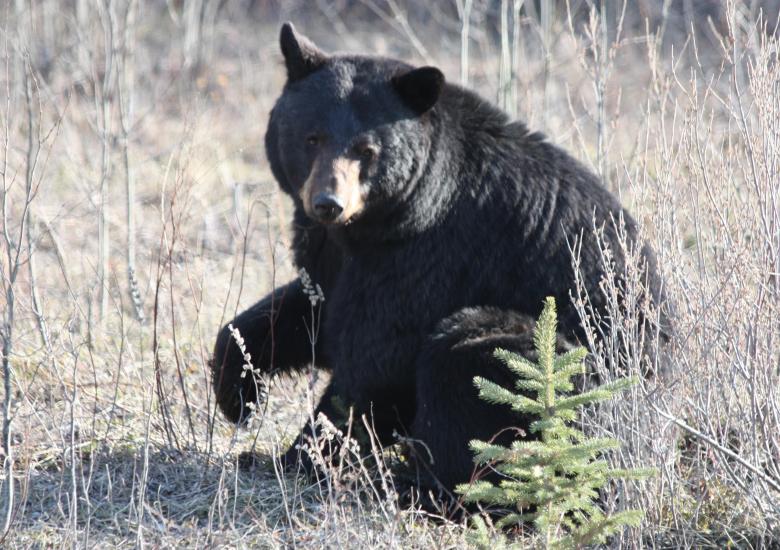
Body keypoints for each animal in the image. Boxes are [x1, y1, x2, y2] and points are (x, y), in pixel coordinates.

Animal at [211, 23, 667, 496]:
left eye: (366, 150)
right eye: (311, 138)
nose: (327, 203)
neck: (380, 222)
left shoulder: (432, 255)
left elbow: (376, 360)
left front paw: (292, 458)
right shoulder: (334, 254)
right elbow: (305, 312)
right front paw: (237, 394)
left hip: (560, 368)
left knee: (462, 363)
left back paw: (418, 484)